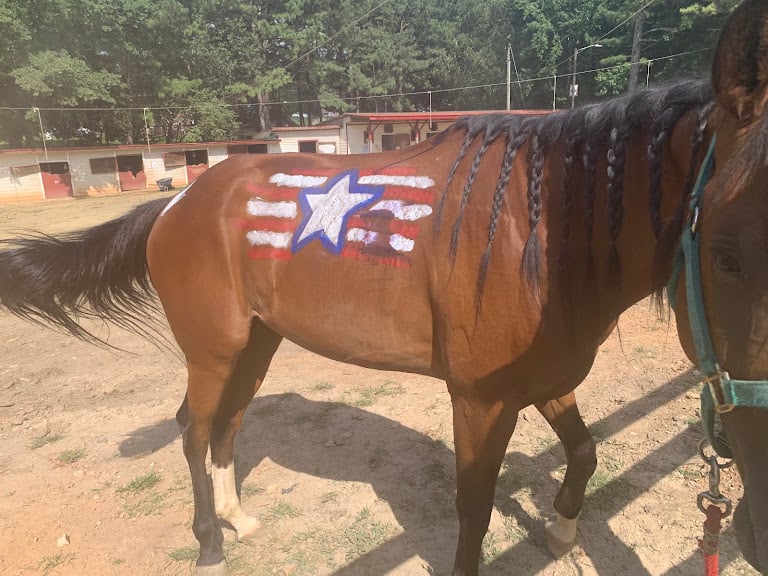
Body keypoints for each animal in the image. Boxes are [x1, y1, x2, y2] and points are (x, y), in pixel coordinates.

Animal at [3, 1, 768, 573]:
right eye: (726, 255)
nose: (753, 530)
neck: (537, 236)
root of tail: (179, 202)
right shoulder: (481, 401)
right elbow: (474, 505)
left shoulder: (549, 378)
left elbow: (584, 452)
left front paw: (560, 533)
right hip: (213, 349)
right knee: (194, 430)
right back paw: (210, 545)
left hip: (257, 343)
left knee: (228, 424)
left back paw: (239, 519)